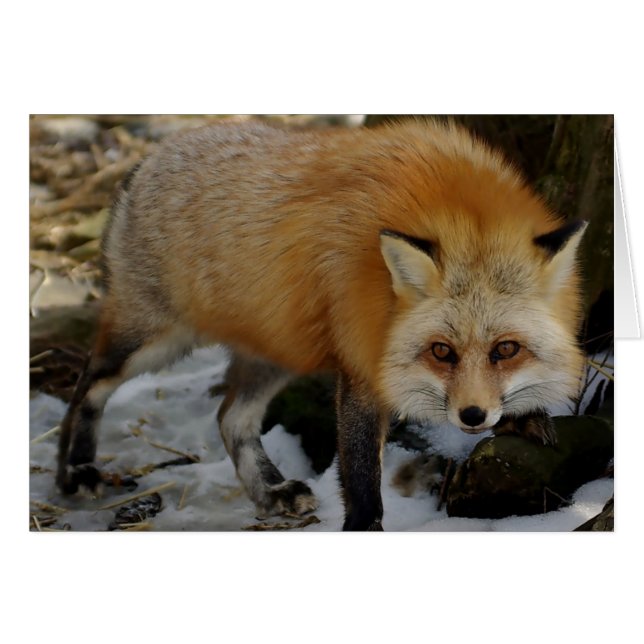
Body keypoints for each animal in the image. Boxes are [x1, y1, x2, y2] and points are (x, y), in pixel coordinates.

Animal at [56, 118, 587, 531]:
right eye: (442, 351)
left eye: (506, 349)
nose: (473, 417)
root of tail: (150, 158)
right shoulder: (361, 358)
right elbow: (360, 474)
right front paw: (364, 526)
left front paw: (525, 415)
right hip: (155, 340)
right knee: (88, 385)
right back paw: (75, 470)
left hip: (277, 348)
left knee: (230, 418)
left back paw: (271, 490)